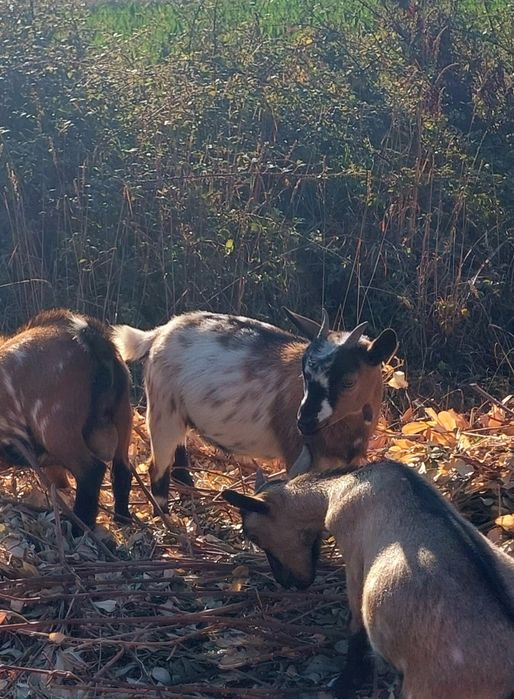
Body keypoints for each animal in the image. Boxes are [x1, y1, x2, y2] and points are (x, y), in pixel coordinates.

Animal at [0, 309, 133, 534]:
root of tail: (93, 341)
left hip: (56, 431)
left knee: (91, 471)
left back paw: (79, 527)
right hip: (123, 418)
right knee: (122, 470)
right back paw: (123, 520)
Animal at [112, 310, 397, 512]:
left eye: (348, 381)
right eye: (304, 373)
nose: (304, 422)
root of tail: (159, 333)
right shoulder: (298, 456)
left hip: (178, 414)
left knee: (179, 461)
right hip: (162, 411)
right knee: (157, 470)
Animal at [223, 462, 514, 699]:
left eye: (254, 536)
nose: (288, 582)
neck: (340, 487)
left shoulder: (354, 558)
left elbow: (356, 625)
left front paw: (345, 683)